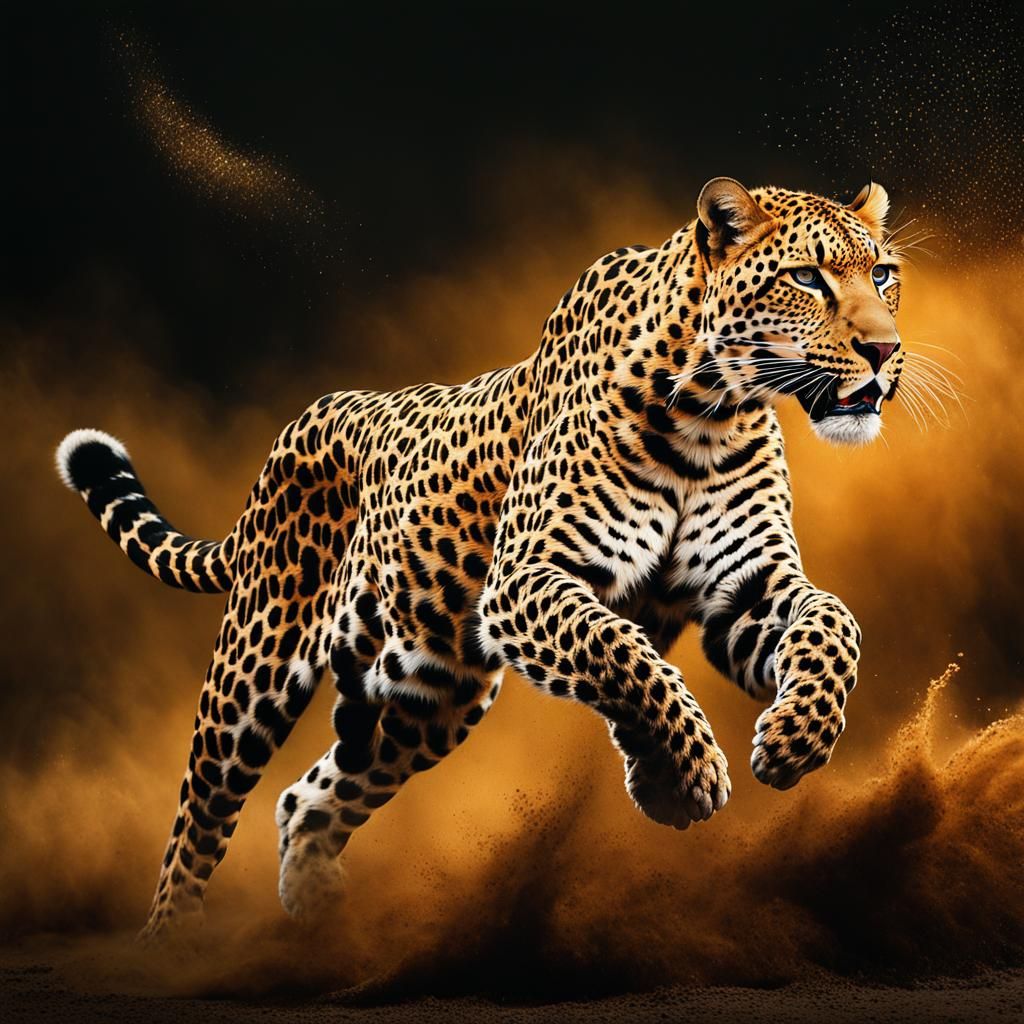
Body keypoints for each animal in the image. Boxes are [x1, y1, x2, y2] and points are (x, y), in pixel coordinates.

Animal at [55, 177, 904, 940]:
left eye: (883, 276)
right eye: (807, 277)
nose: (885, 351)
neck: (713, 410)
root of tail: (303, 420)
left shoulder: (744, 589)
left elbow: (833, 622)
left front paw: (795, 737)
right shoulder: (525, 581)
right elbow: (621, 650)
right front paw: (690, 774)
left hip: (424, 698)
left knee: (311, 796)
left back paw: (320, 921)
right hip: (255, 671)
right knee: (200, 814)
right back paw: (172, 942)